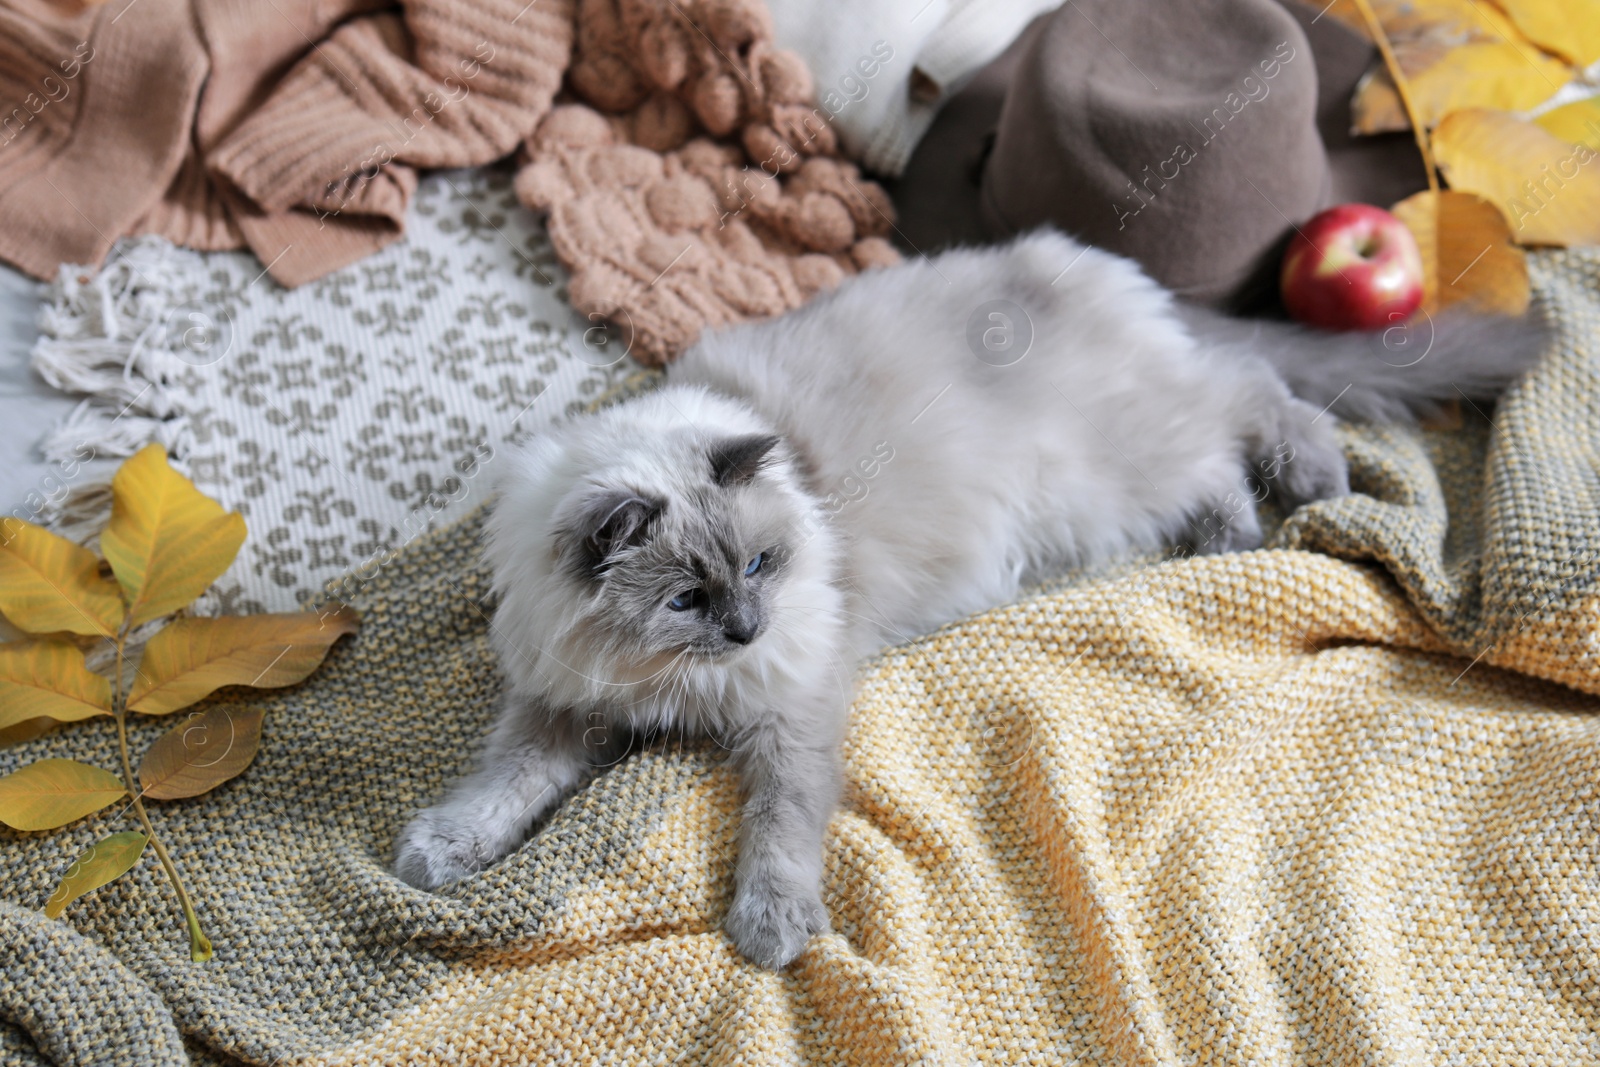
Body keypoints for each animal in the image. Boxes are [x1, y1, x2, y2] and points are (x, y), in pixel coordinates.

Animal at [390, 230, 1548, 972]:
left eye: (759, 567)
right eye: (686, 596)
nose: (748, 626)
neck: (659, 681)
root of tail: (1082, 262)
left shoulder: (790, 713)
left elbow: (777, 829)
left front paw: (770, 929)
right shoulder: (562, 706)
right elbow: (499, 790)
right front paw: (433, 857)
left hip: (1112, 469)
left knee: (1251, 388)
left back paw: (1306, 480)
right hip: (1116, 488)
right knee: (1225, 435)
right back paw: (1234, 530)